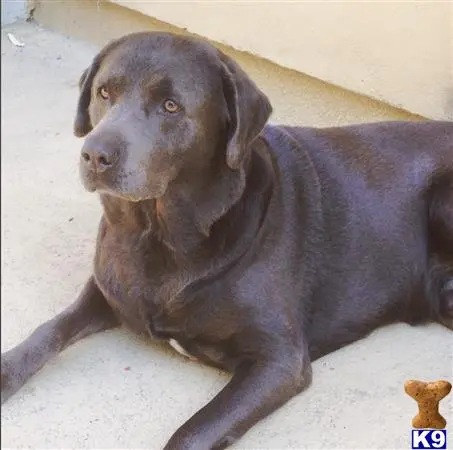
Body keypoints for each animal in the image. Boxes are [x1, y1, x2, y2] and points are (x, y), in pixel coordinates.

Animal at [2, 29, 452, 448]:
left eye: (171, 105)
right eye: (104, 93)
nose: (95, 155)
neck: (159, 234)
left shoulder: (279, 360)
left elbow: (192, 432)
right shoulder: (109, 288)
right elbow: (49, 329)